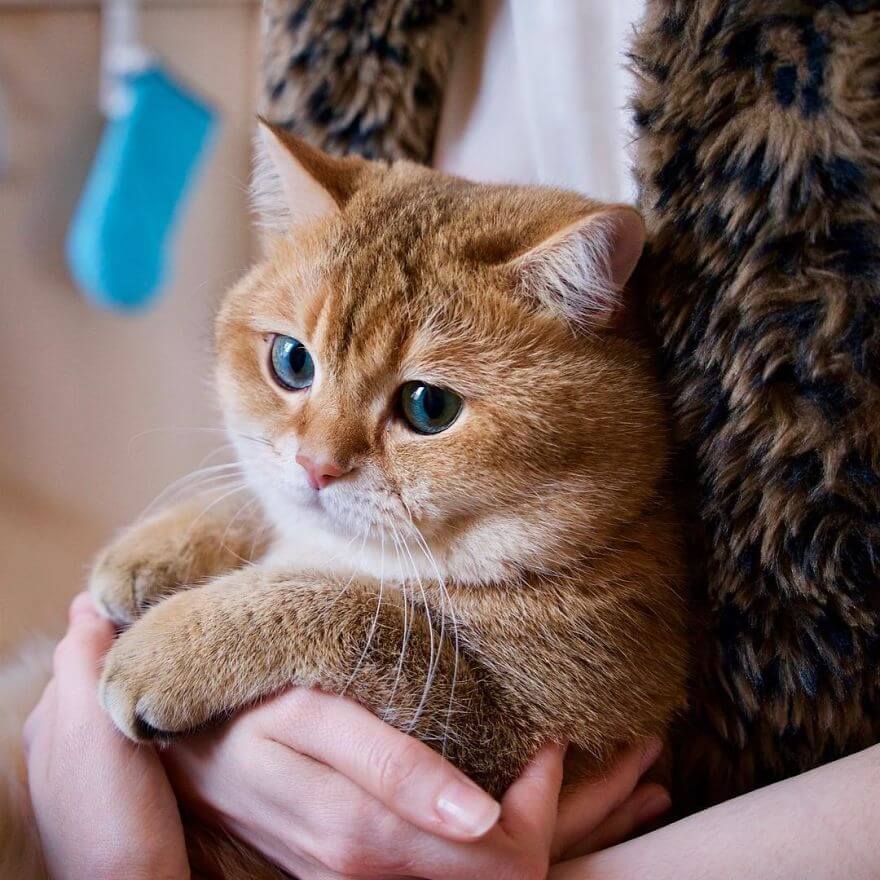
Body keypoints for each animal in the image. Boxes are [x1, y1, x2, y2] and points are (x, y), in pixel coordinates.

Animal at [0, 125, 688, 880]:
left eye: (429, 406)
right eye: (292, 362)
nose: (315, 465)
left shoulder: (529, 722)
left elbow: (351, 605)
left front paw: (179, 642)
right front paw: (166, 546)